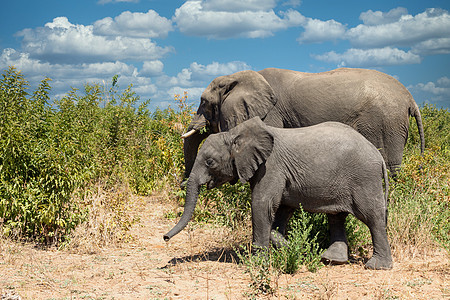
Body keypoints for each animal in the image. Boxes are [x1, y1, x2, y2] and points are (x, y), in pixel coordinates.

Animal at [163, 116, 392, 270]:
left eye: (210, 162)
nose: (165, 238)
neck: (235, 133)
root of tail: (378, 154)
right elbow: (281, 208)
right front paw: (291, 246)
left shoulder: (271, 167)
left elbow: (261, 204)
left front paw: (260, 261)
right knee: (337, 217)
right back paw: (331, 259)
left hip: (364, 177)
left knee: (372, 216)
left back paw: (376, 266)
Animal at [182, 67, 426, 178]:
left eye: (204, 102)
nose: (183, 184)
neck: (239, 76)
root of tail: (410, 98)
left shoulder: (270, 113)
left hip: (384, 122)